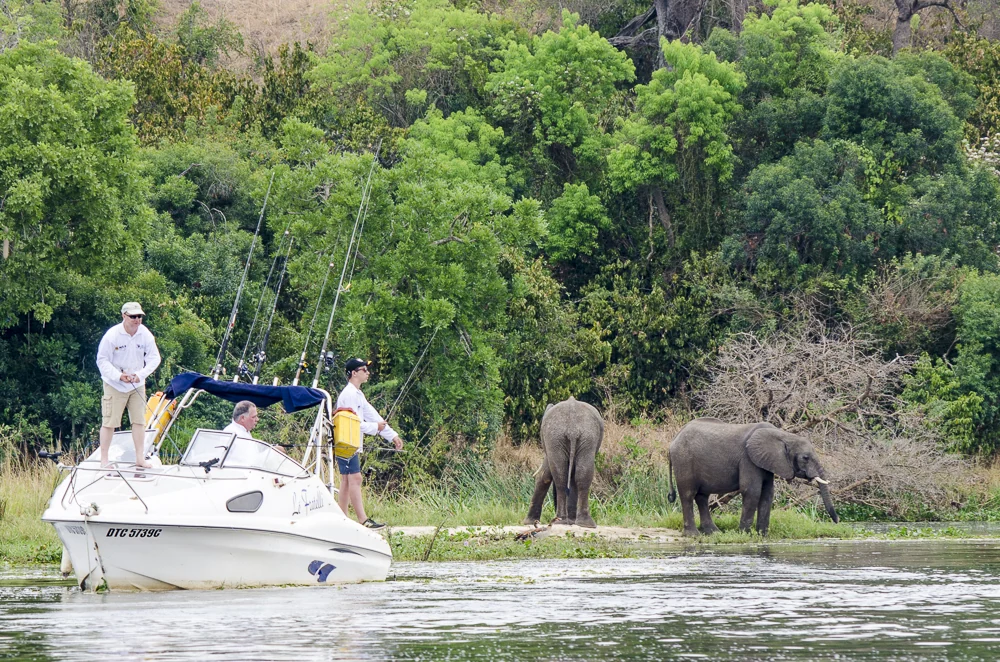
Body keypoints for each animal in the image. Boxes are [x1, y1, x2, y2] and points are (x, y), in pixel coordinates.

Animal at [523, 397, 604, 528]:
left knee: (561, 476)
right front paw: (571, 522)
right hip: (583, 437)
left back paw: (561, 521)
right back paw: (584, 524)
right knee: (581, 474)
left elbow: (544, 475)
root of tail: (572, 428)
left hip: (556, 436)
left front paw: (528, 522)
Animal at [667, 418, 839, 536]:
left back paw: (713, 532)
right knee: (688, 495)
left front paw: (762, 535)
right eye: (805, 458)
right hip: (684, 459)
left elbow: (768, 494)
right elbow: (752, 491)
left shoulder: (767, 461)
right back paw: (694, 535)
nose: (837, 521)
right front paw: (745, 534)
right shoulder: (748, 459)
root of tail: (674, 439)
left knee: (702, 496)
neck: (784, 435)